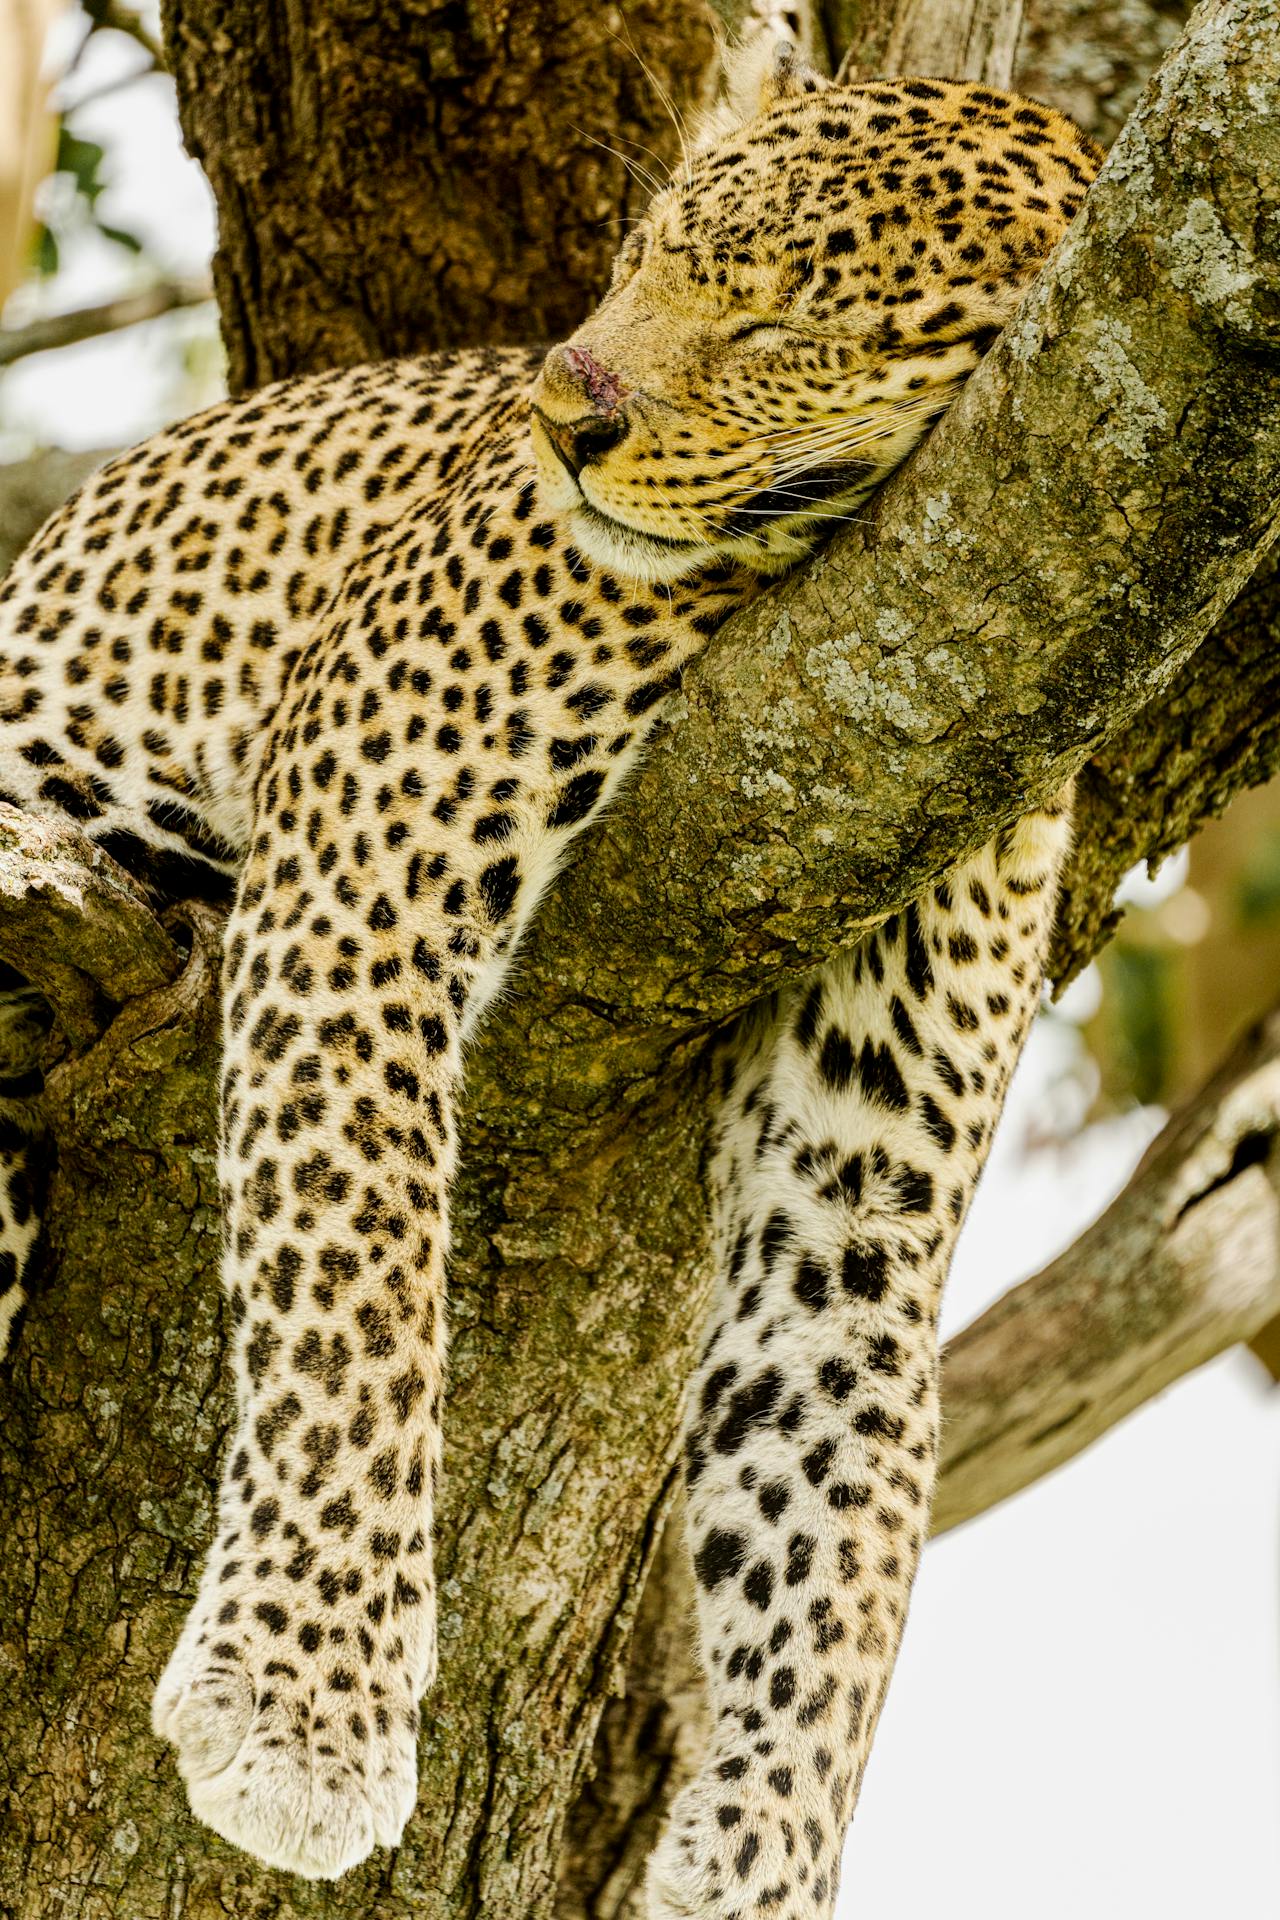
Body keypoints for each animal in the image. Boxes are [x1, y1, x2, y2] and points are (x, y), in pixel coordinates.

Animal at [0, 41, 1105, 1920]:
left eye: (781, 325)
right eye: (643, 255)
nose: (561, 417)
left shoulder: (865, 1179)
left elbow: (843, 1524)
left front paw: (754, 1868)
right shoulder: (364, 853)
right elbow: (356, 1294)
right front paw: (304, 1713)